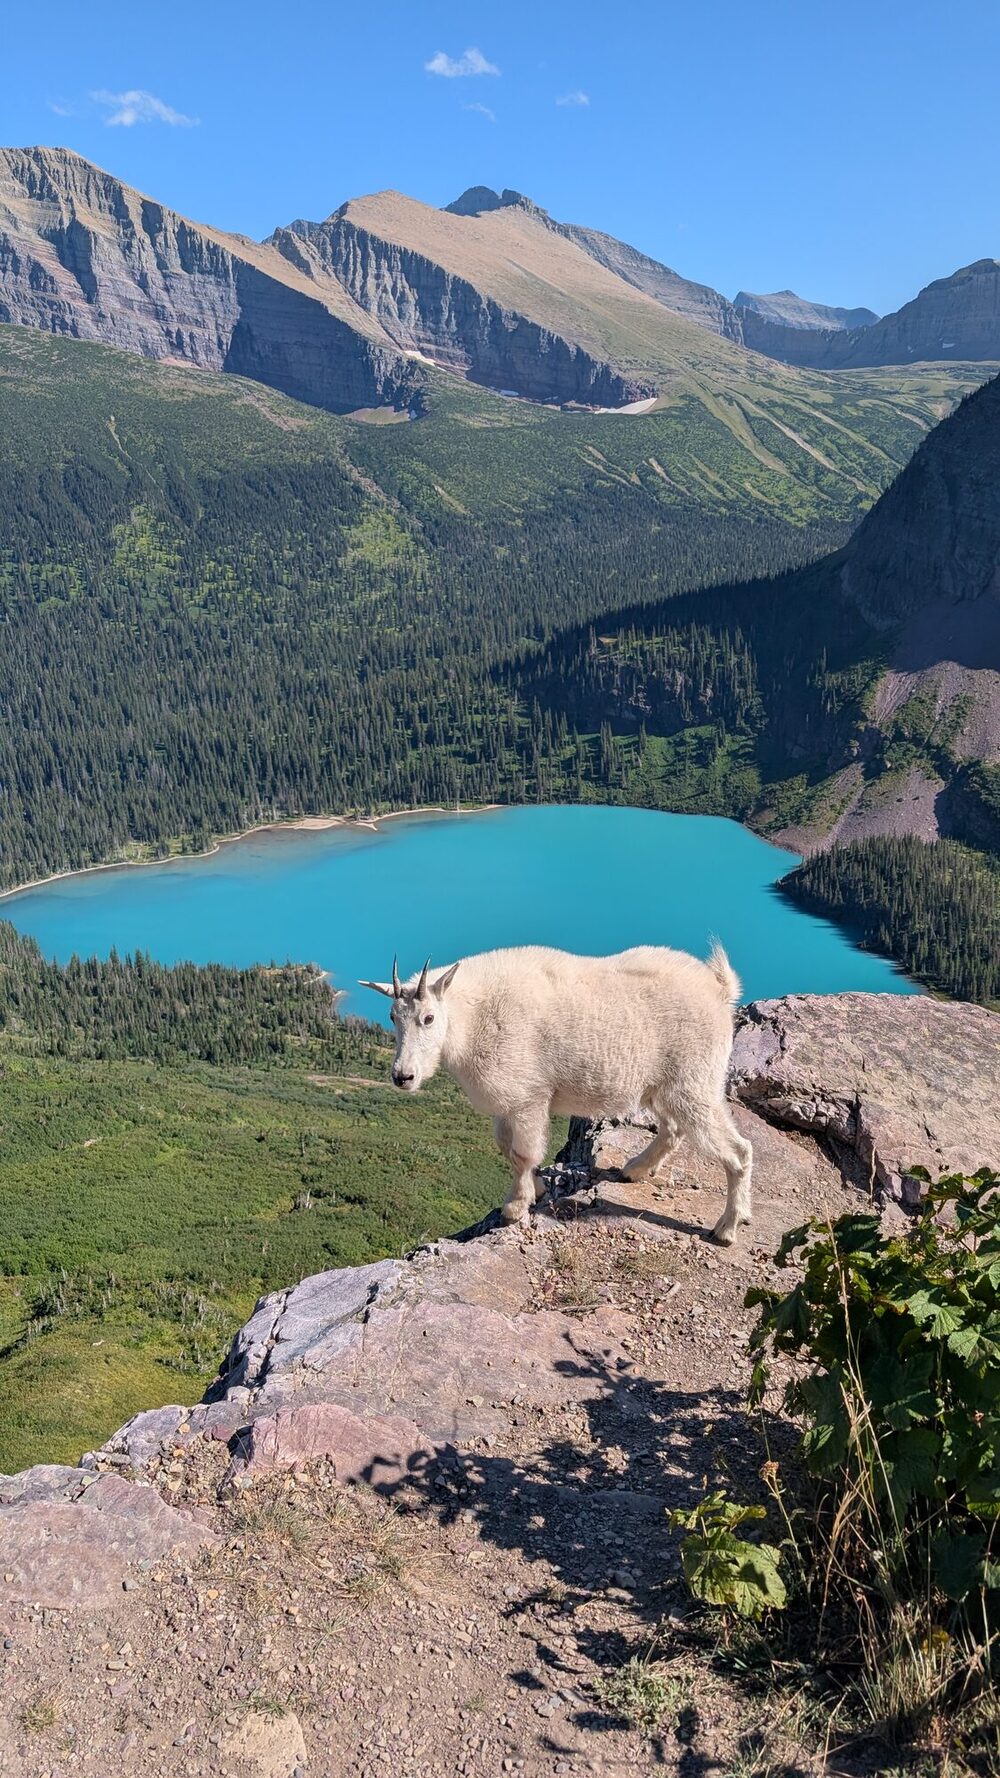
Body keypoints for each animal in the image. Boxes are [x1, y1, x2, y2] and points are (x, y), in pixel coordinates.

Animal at [359, 944, 752, 1244]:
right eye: (392, 1016)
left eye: (428, 1018)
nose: (403, 1076)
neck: (472, 1020)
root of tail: (720, 990)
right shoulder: (507, 1104)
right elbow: (507, 1148)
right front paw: (536, 1189)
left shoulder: (529, 1097)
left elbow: (522, 1153)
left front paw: (515, 1207)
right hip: (664, 1087)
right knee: (673, 1129)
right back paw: (634, 1170)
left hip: (695, 1081)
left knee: (738, 1151)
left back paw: (727, 1229)